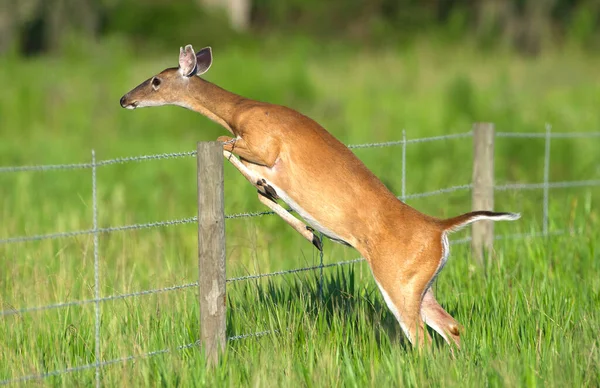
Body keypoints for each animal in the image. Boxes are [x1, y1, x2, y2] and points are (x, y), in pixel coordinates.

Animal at [118, 44, 520, 348]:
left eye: (156, 80)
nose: (124, 99)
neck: (239, 111)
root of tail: (439, 229)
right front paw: (305, 227)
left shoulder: (264, 144)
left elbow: (225, 145)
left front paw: (304, 226)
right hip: (424, 284)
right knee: (452, 326)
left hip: (398, 279)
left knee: (422, 338)